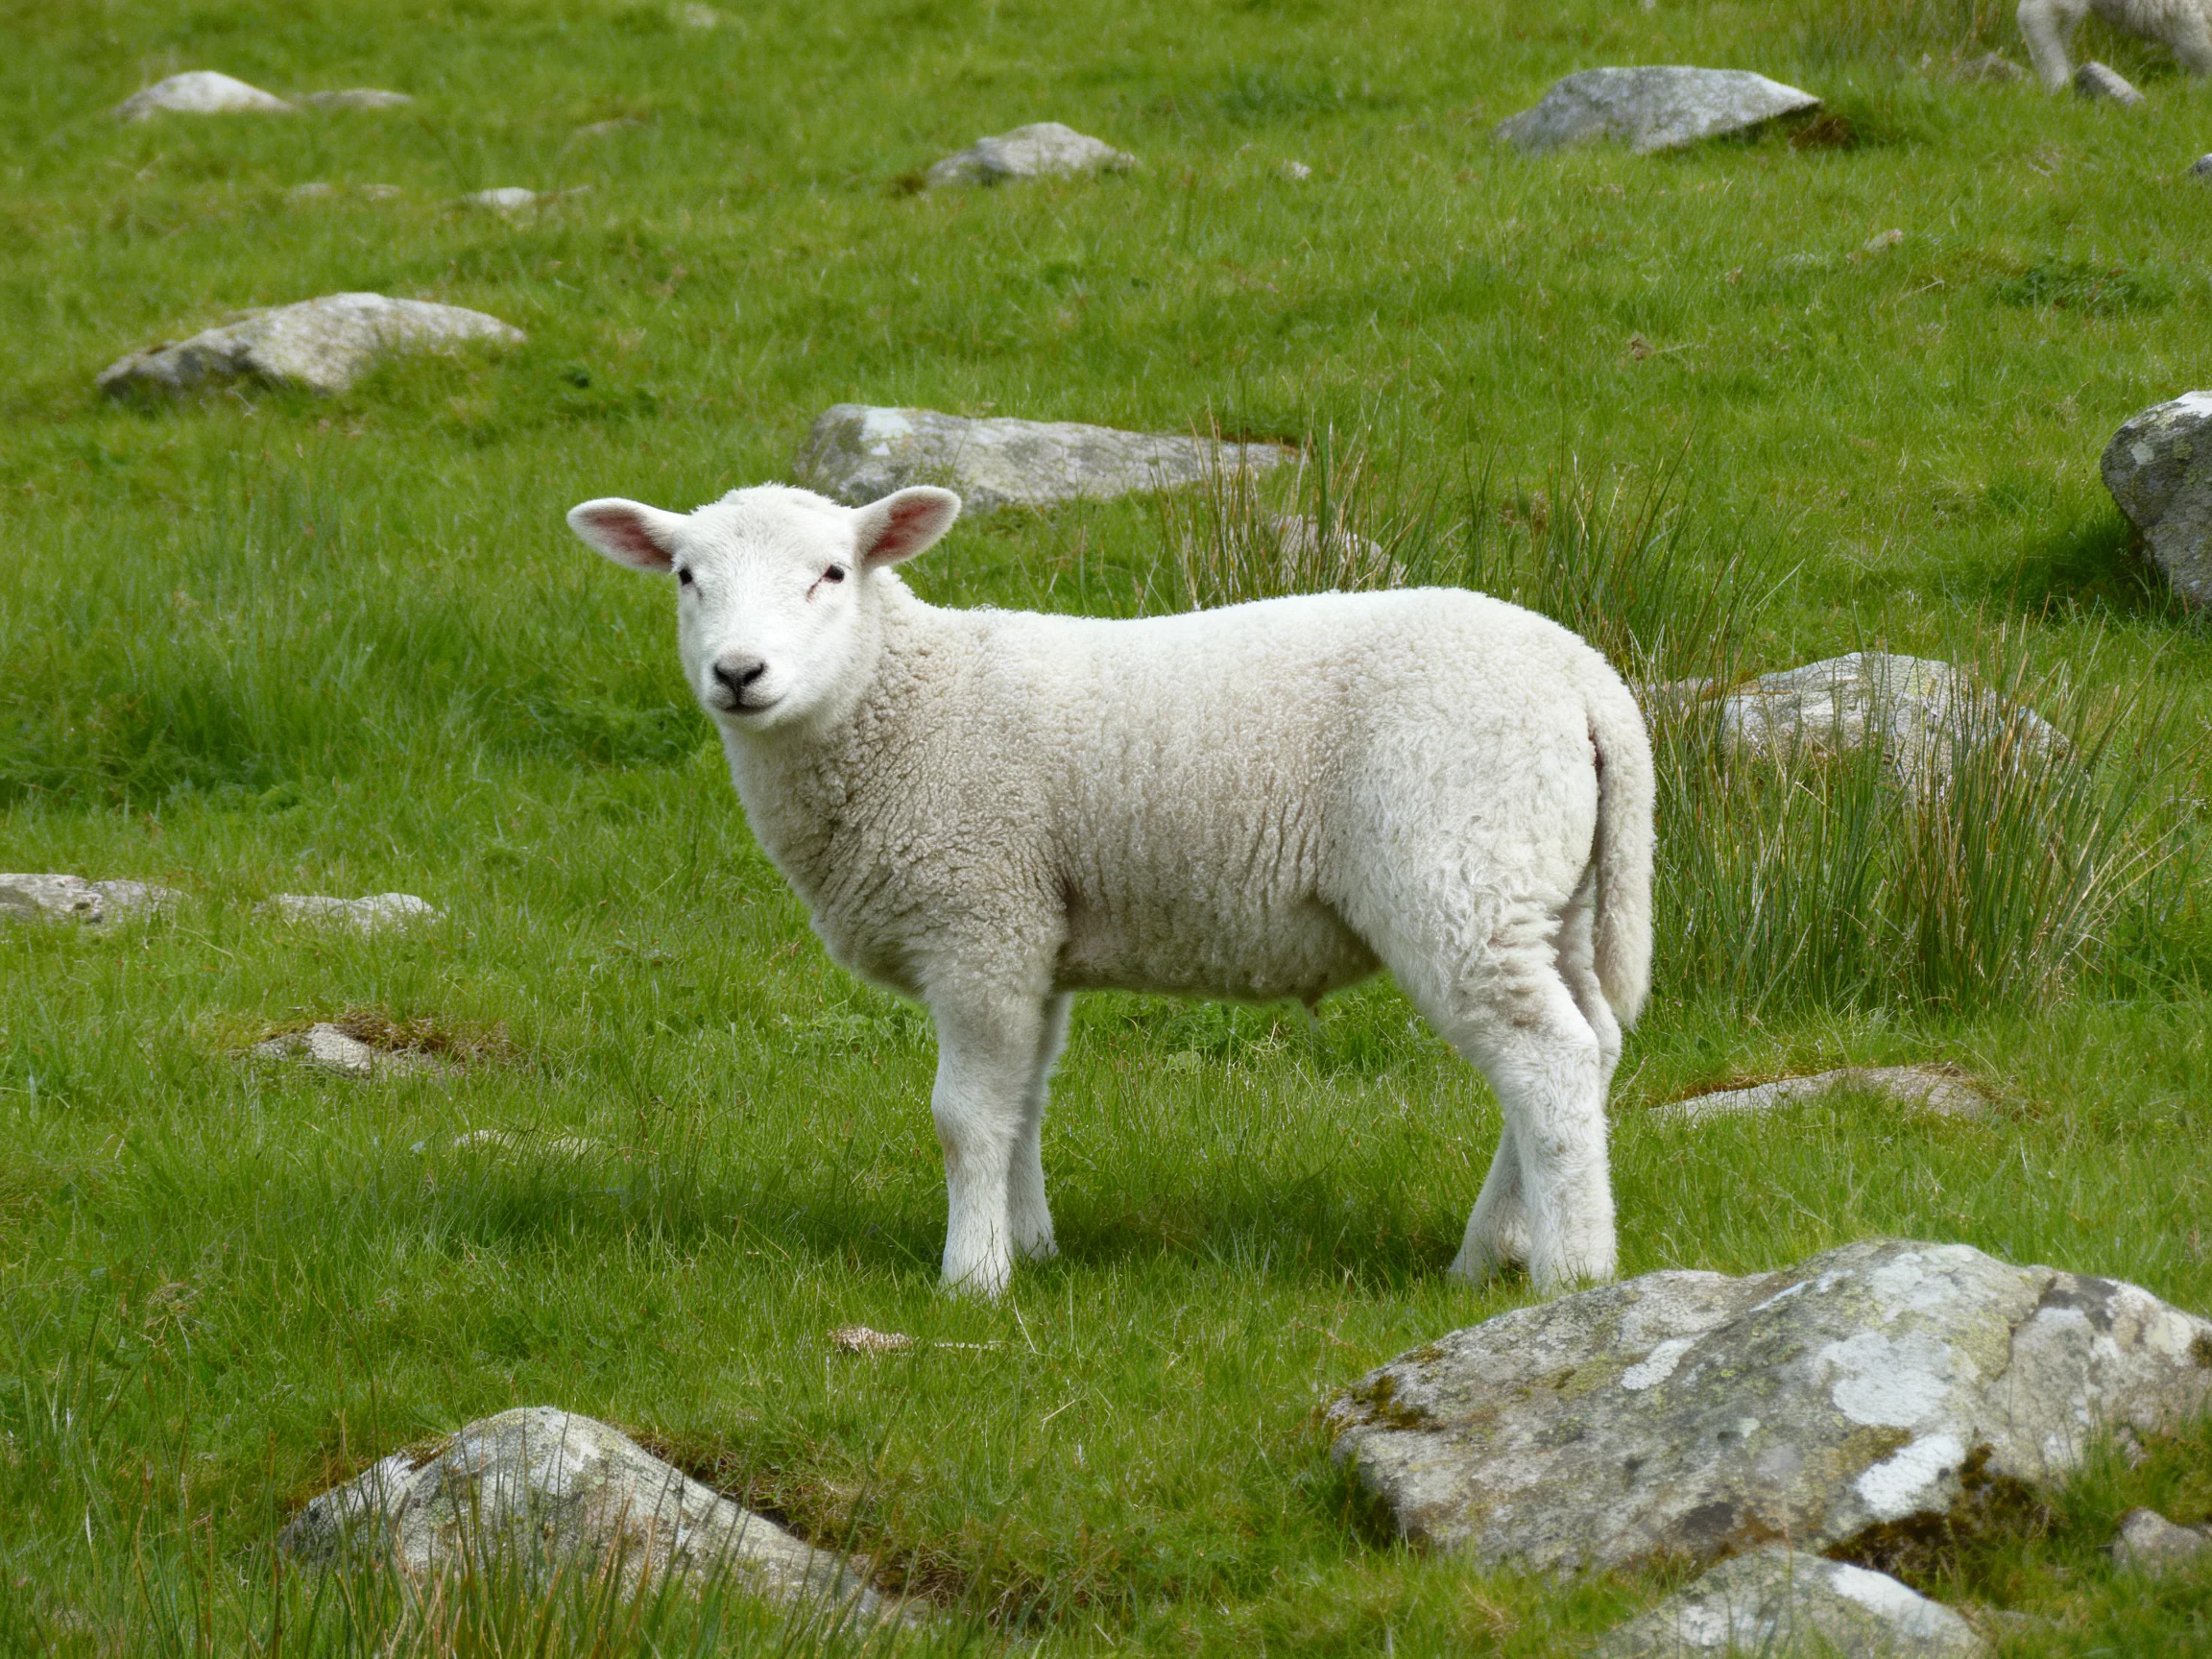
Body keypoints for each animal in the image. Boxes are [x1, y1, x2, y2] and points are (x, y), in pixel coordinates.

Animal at [566, 483, 1655, 1299]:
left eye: (832, 573)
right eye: (686, 576)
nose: (738, 673)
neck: (906, 702)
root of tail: (1585, 676)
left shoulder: (979, 918)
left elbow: (965, 1115)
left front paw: (972, 1279)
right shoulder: (1032, 933)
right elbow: (1024, 1100)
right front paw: (1033, 1246)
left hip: (1459, 869)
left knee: (1546, 1060)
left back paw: (1571, 1273)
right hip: (1545, 886)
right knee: (1588, 1045)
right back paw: (1488, 1255)